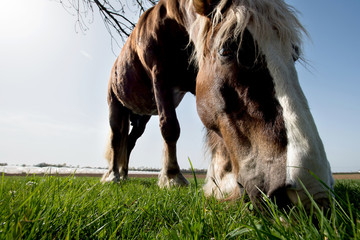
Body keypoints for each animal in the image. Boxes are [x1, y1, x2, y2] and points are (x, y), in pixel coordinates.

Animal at [100, 0, 334, 208]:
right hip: (116, 106)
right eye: (226, 50)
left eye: (294, 54)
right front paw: (173, 178)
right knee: (116, 138)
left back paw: (124, 174)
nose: (311, 191)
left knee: (129, 142)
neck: (171, 25)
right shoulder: (160, 77)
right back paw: (113, 176)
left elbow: (216, 131)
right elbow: (170, 128)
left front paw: (221, 181)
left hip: (142, 118)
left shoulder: (197, 78)